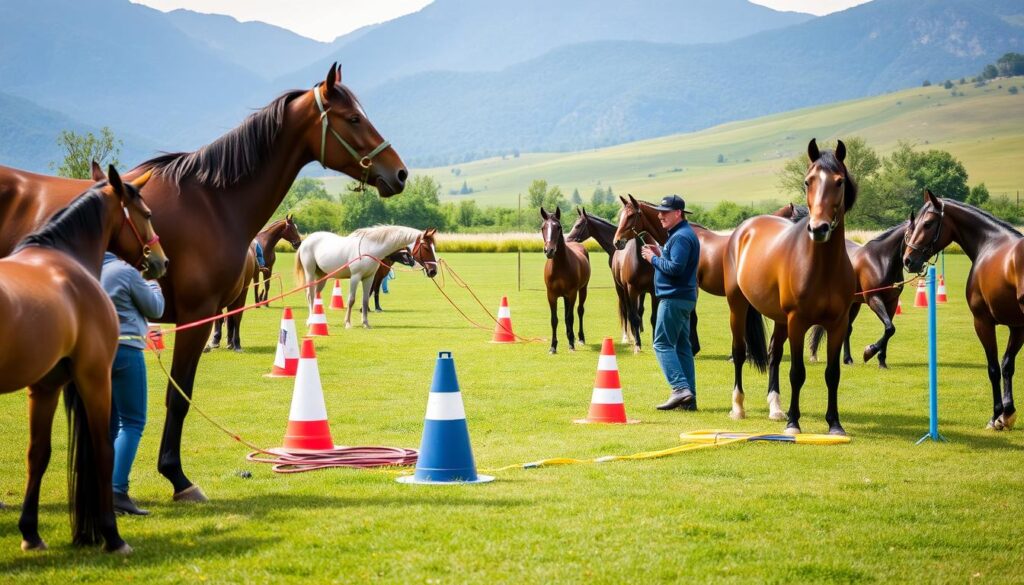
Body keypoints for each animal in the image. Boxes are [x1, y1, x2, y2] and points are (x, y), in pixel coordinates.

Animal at [0, 65, 405, 504]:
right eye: (354, 118)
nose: (400, 172)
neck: (212, 202)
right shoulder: (195, 315)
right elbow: (178, 397)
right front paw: (177, 477)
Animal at [0, 168, 165, 553]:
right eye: (147, 213)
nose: (162, 261)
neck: (63, 259)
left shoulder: (45, 387)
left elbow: (38, 455)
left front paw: (30, 533)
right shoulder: (94, 376)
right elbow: (104, 451)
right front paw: (112, 535)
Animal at [296, 225, 440, 327]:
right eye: (426, 248)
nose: (433, 271)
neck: (370, 248)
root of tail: (306, 241)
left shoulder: (369, 278)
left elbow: (365, 299)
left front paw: (365, 323)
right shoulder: (355, 277)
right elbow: (351, 300)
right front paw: (347, 323)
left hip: (322, 276)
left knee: (316, 295)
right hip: (310, 273)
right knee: (310, 295)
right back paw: (310, 321)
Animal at [540, 206, 589, 352]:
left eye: (558, 227)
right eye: (543, 227)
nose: (549, 251)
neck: (560, 266)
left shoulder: (572, 294)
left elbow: (570, 317)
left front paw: (571, 344)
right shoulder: (551, 295)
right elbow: (554, 319)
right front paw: (553, 346)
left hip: (582, 290)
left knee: (579, 311)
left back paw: (579, 338)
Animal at [905, 192, 1024, 430]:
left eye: (928, 223)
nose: (908, 260)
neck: (989, 243)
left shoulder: (983, 322)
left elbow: (994, 368)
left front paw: (996, 416)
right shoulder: (1017, 326)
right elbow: (1007, 365)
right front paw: (1007, 414)